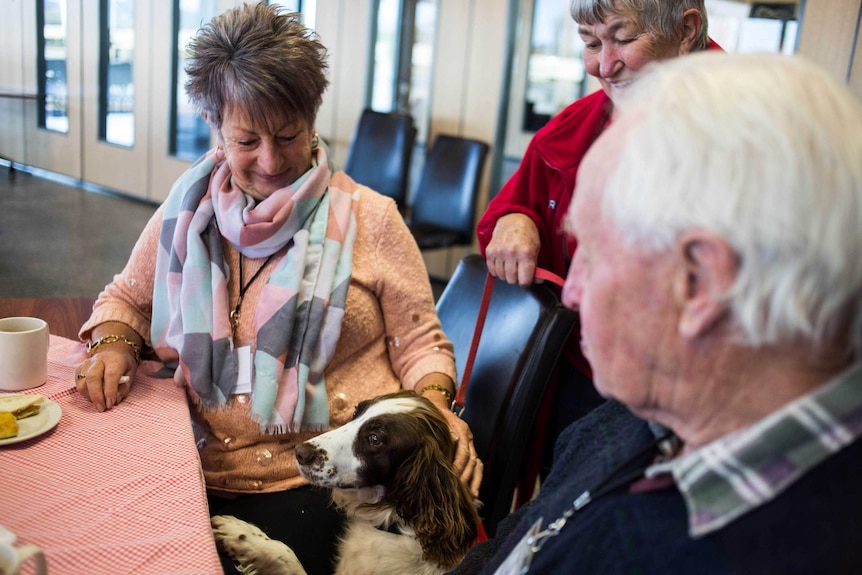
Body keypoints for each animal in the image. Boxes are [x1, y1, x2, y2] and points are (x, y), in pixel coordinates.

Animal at [214, 392, 486, 575]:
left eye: (374, 439)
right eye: (356, 414)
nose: (300, 452)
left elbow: (289, 555)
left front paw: (244, 538)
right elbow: (285, 554)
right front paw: (242, 535)